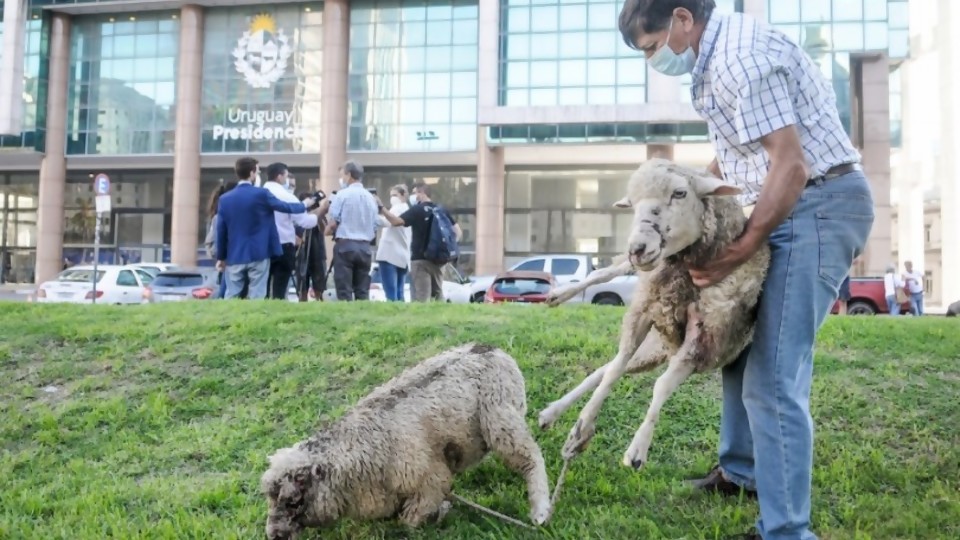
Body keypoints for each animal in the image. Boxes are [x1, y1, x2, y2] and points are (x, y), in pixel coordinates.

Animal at [258, 344, 552, 536]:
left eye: (293, 500)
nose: (273, 535)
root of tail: (491, 347)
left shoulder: (430, 480)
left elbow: (409, 522)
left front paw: (441, 513)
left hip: (500, 417)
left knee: (531, 458)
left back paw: (540, 511)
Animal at [540, 158, 772, 470]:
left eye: (680, 193)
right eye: (632, 204)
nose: (637, 249)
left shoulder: (704, 336)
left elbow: (659, 386)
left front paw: (637, 447)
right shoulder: (644, 310)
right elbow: (614, 371)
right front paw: (583, 427)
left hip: (653, 349)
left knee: (607, 367)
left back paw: (553, 412)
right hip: (649, 328)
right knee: (606, 278)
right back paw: (559, 297)